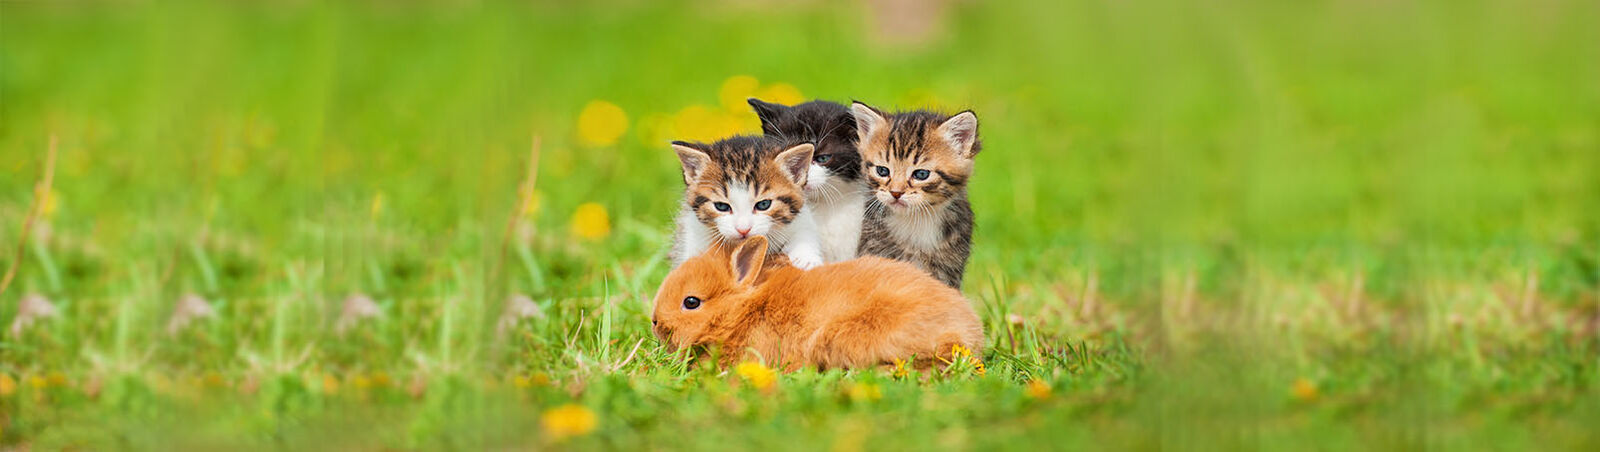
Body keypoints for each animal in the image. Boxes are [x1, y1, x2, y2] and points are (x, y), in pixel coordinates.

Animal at [672, 133, 832, 267]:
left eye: (764, 204)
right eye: (721, 206)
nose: (743, 229)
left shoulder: (802, 219)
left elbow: (805, 232)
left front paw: (806, 258)